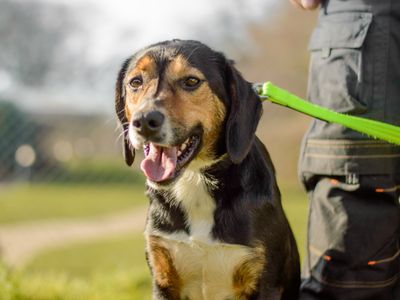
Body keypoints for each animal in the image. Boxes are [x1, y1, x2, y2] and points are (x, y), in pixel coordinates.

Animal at [115, 40, 300, 300]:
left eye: (191, 81)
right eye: (135, 82)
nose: (143, 122)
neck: (195, 179)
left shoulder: (265, 282)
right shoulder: (163, 279)